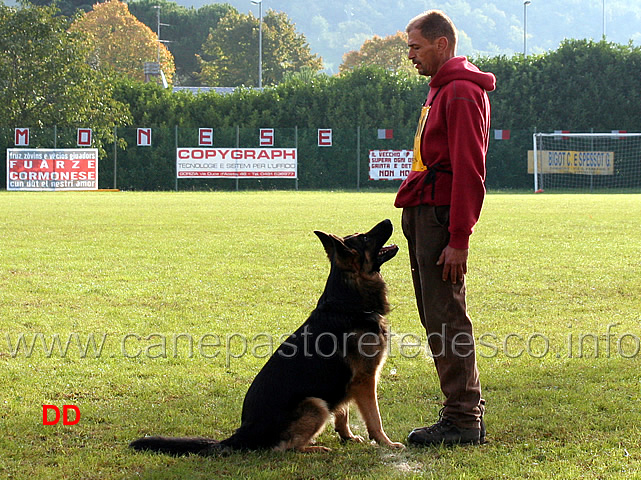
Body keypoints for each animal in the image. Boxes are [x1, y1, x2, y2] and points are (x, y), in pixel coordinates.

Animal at [129, 220, 400, 454]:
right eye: (365, 238)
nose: (388, 220)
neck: (348, 302)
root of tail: (241, 434)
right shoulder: (365, 381)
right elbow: (374, 419)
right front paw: (386, 443)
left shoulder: (344, 385)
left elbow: (342, 414)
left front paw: (348, 437)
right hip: (315, 404)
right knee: (285, 448)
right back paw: (314, 449)